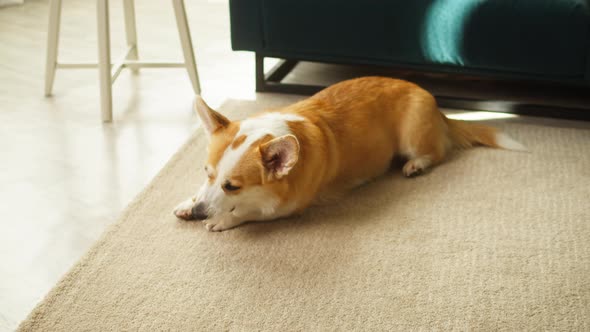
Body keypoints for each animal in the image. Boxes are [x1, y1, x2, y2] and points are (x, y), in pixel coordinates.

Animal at [173, 77, 524, 231]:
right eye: (207, 174)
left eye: (232, 186)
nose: (201, 213)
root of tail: (436, 105)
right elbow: (198, 194)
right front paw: (189, 204)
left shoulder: (287, 208)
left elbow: (248, 213)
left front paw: (221, 220)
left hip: (412, 136)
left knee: (437, 153)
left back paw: (416, 165)